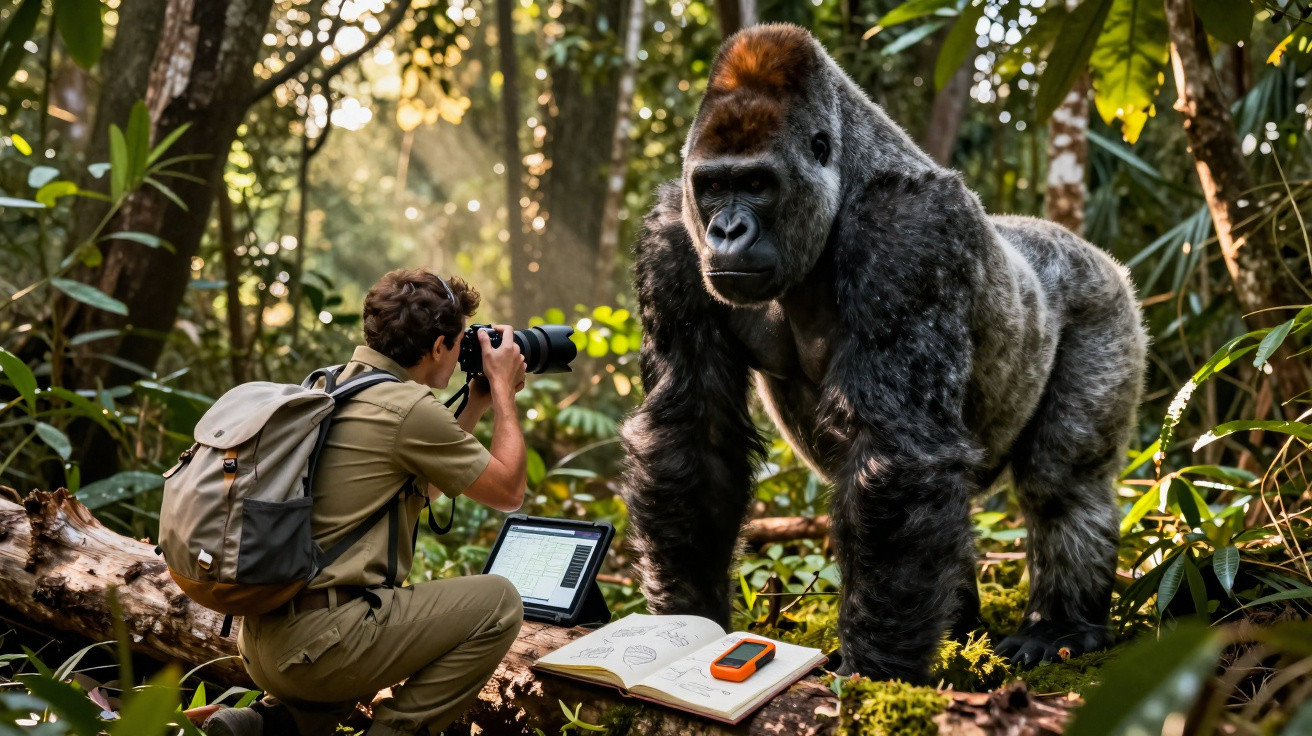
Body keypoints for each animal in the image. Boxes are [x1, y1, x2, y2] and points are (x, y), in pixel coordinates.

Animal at [619, 24, 1147, 682]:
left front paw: (876, 670)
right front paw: (688, 622)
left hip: (1105, 302)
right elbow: (692, 433)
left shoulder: (907, 234)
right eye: (713, 186)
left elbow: (897, 452)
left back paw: (1063, 626)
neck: (844, 176)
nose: (726, 231)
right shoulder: (671, 236)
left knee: (1063, 482)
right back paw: (962, 628)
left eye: (757, 184)